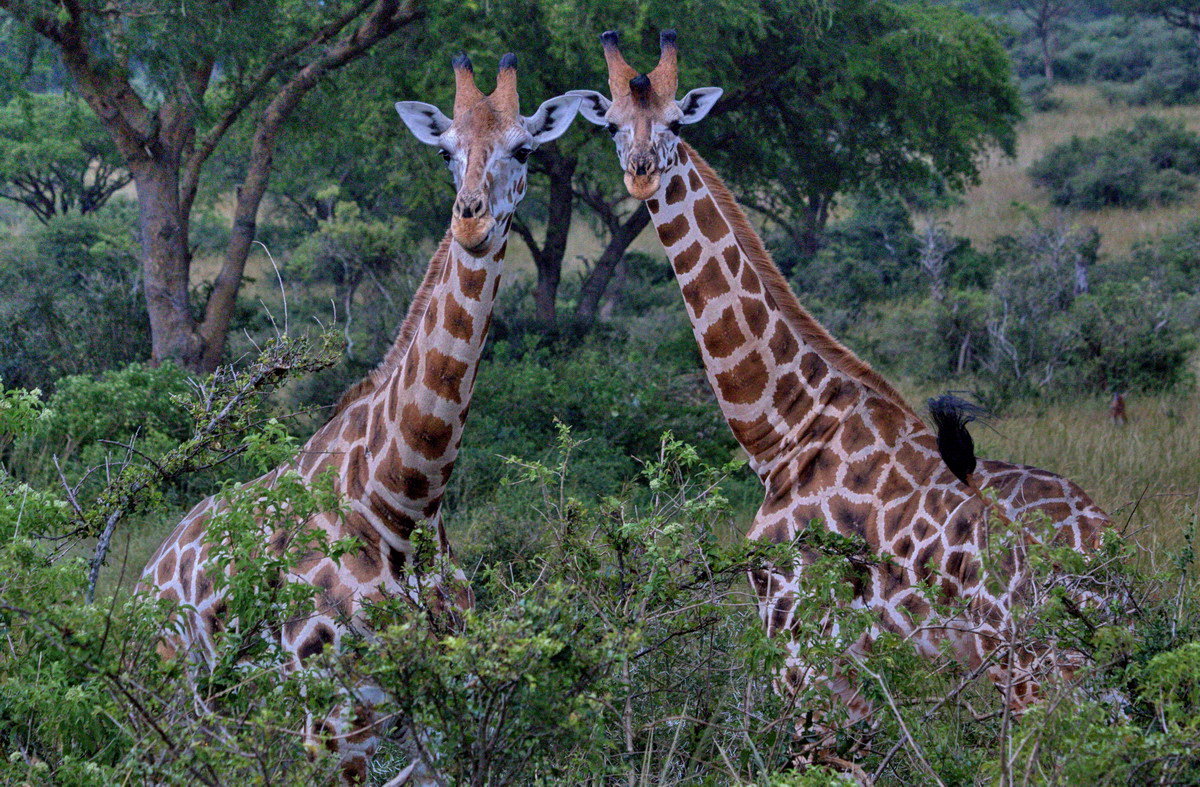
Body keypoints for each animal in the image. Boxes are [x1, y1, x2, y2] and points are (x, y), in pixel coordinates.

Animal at [140, 53, 580, 782]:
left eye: (524, 149)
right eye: (445, 150)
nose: (470, 222)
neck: (403, 500)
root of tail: (145, 577)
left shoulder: (445, 707)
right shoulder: (335, 718)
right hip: (178, 699)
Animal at [571, 30, 1113, 763]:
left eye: (678, 122)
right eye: (612, 126)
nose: (641, 171)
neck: (785, 428)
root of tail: (1103, 552)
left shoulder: (799, 642)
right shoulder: (846, 663)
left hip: (1031, 666)